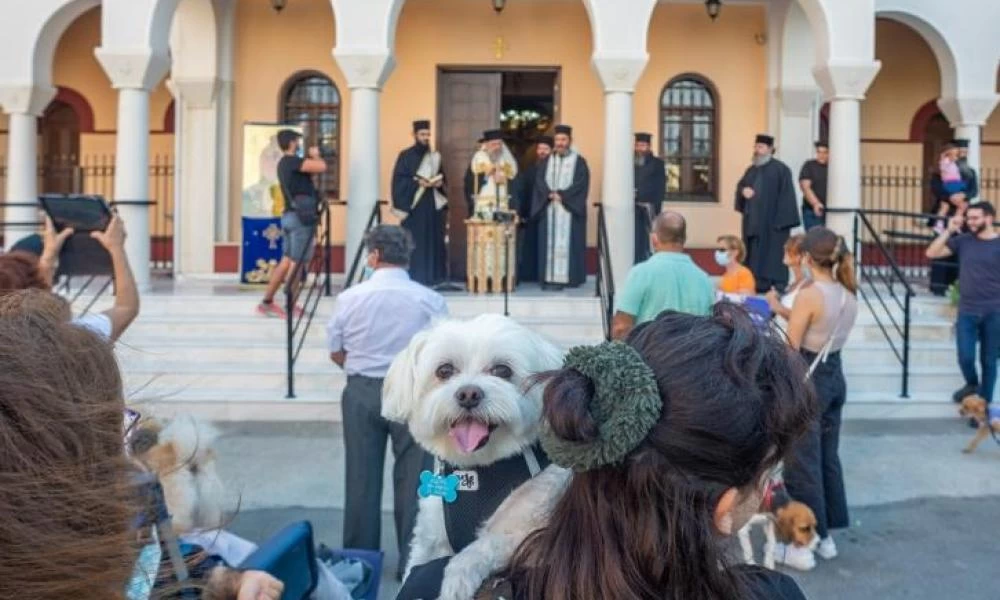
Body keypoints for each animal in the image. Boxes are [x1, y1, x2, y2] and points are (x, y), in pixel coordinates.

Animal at [382, 314, 572, 600]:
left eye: (502, 370)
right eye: (444, 371)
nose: (468, 394)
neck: (476, 468)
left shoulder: (527, 531)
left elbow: (480, 548)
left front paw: (455, 582)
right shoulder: (432, 537)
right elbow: (415, 567)